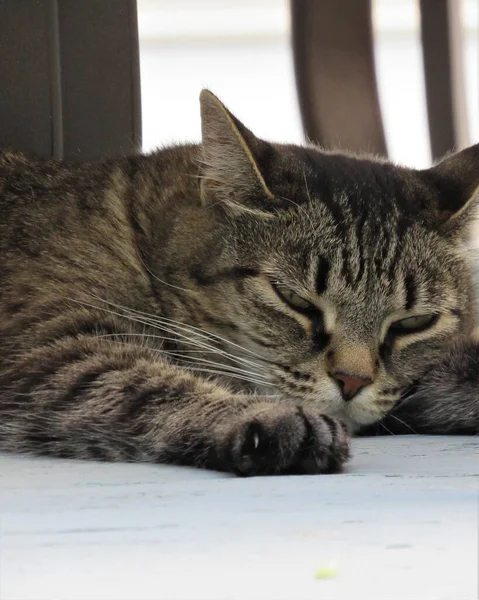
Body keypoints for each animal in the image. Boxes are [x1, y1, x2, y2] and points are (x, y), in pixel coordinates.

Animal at [0, 90, 479, 474]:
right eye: (294, 301)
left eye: (413, 323)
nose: (352, 382)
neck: (137, 233)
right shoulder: (48, 344)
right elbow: (144, 384)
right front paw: (268, 418)